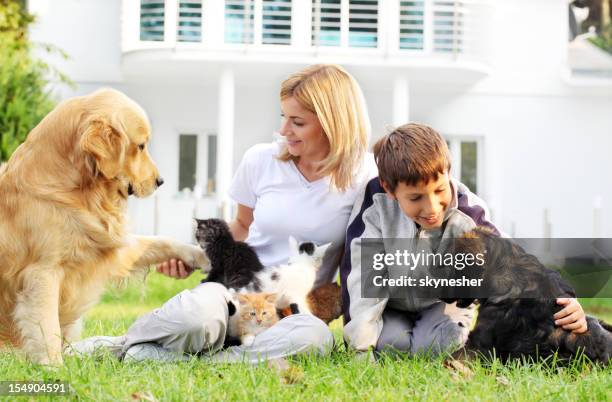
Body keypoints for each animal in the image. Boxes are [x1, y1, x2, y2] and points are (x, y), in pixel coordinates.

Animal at [0, 88, 208, 364]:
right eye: (140, 146)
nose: (161, 181)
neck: (74, 189)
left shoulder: (109, 245)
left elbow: (161, 241)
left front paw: (202, 255)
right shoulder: (42, 273)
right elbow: (47, 328)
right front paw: (54, 367)